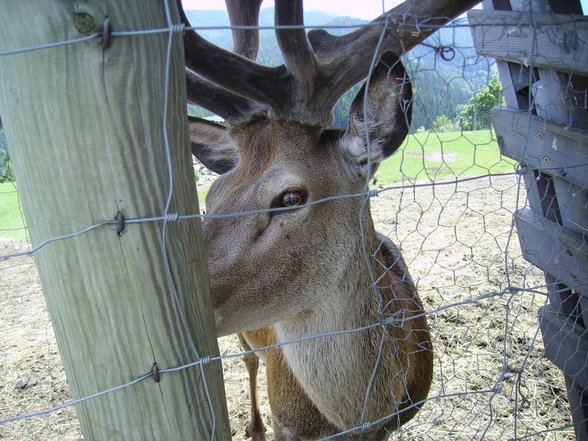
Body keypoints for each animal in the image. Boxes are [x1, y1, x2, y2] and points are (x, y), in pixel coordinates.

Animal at [178, 1, 478, 438]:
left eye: (290, 196)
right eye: (210, 198)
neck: (359, 417)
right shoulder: (287, 422)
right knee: (249, 359)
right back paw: (254, 425)